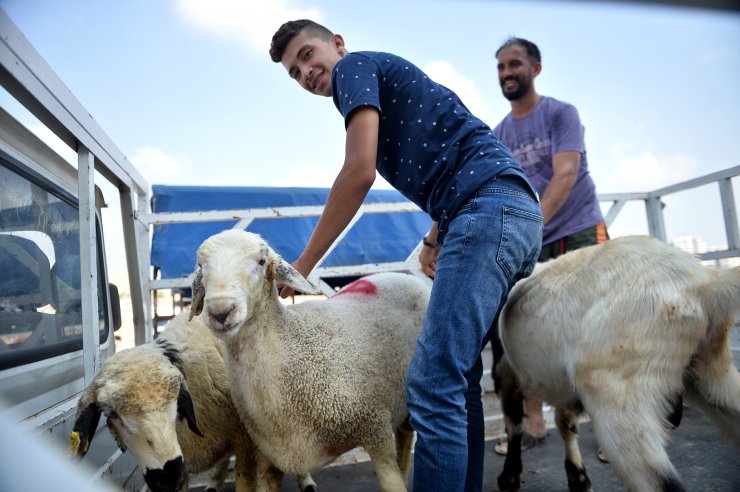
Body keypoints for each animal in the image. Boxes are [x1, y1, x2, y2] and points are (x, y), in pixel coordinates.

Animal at [188, 230, 428, 492]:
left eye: (261, 262)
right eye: (200, 266)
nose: (220, 312)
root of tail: (407, 278)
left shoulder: (375, 427)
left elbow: (390, 479)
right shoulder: (267, 456)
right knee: (405, 436)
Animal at [492, 235, 740, 492]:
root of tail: (706, 283)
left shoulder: (506, 371)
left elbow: (515, 423)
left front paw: (509, 478)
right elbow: (565, 422)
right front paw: (578, 478)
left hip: (616, 394)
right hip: (710, 375)